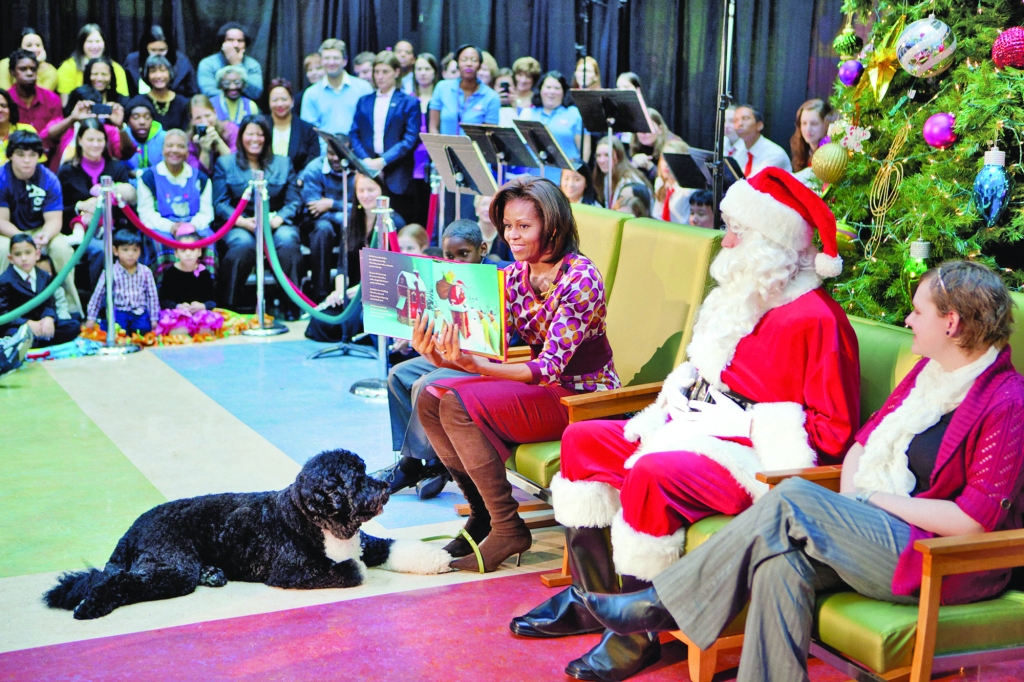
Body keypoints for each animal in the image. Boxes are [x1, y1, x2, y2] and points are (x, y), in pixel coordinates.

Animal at [44, 446, 452, 614]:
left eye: (365, 470)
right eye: (356, 478)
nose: (386, 484)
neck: (311, 520)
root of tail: (134, 528)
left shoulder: (368, 543)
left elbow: (395, 546)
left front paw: (435, 557)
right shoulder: (292, 570)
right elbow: (352, 570)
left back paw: (212, 573)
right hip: (172, 566)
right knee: (116, 582)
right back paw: (90, 606)